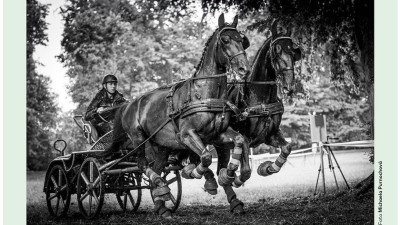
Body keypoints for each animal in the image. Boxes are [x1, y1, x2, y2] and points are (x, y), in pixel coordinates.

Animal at [104, 14, 253, 218]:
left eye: (242, 41)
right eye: (225, 40)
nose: (244, 69)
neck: (204, 94)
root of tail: (129, 105)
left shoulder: (217, 134)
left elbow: (241, 140)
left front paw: (235, 176)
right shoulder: (186, 135)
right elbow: (206, 157)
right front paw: (204, 178)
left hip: (162, 146)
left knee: (157, 168)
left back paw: (161, 205)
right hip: (139, 140)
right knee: (143, 165)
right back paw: (161, 187)